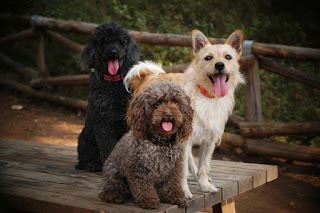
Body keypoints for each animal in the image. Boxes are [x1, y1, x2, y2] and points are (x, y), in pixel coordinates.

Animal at [98, 80, 192, 209]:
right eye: (157, 103)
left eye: (175, 101)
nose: (168, 114)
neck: (160, 143)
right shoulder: (138, 169)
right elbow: (143, 187)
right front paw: (149, 200)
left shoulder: (173, 169)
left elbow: (171, 184)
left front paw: (176, 197)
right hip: (113, 172)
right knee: (109, 190)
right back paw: (115, 195)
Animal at [124, 29, 244, 199]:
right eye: (208, 58)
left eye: (228, 57)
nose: (220, 65)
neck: (206, 95)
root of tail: (152, 77)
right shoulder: (184, 140)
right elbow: (182, 171)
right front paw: (183, 191)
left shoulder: (209, 139)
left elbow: (203, 166)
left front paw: (204, 185)